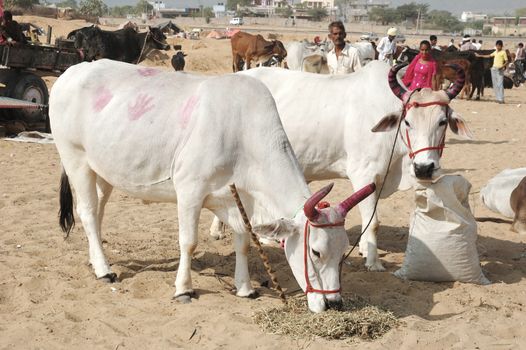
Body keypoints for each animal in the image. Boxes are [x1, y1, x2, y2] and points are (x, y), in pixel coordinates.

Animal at [47, 58, 374, 314]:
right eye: (315, 252)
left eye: (344, 251)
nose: (334, 304)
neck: (241, 133)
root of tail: (73, 71)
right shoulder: (190, 191)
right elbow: (188, 242)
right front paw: (183, 289)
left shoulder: (239, 201)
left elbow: (243, 243)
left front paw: (245, 288)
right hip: (75, 159)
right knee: (88, 213)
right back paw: (104, 270)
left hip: (102, 171)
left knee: (97, 214)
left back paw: (97, 260)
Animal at [210, 61, 474, 272]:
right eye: (407, 122)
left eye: (442, 121)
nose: (424, 168)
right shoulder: (363, 174)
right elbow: (374, 222)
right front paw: (374, 263)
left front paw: (365, 250)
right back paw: (220, 230)